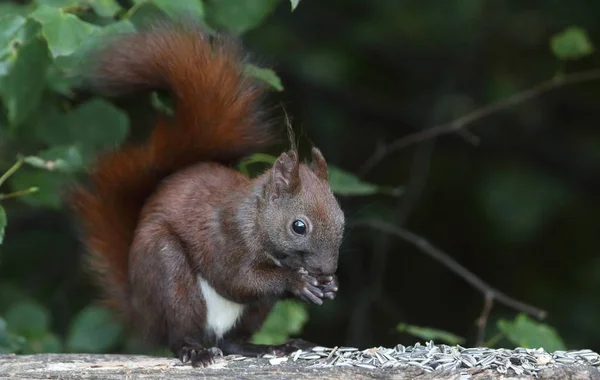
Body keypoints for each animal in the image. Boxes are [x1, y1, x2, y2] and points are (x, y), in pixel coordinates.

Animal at [68, 22, 344, 366]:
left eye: (342, 218)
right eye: (299, 226)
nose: (326, 270)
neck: (255, 219)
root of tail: (142, 313)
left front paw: (329, 286)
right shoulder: (225, 237)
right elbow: (236, 280)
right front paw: (298, 281)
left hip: (255, 310)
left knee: (232, 341)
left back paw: (272, 347)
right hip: (170, 276)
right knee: (182, 332)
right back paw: (195, 351)